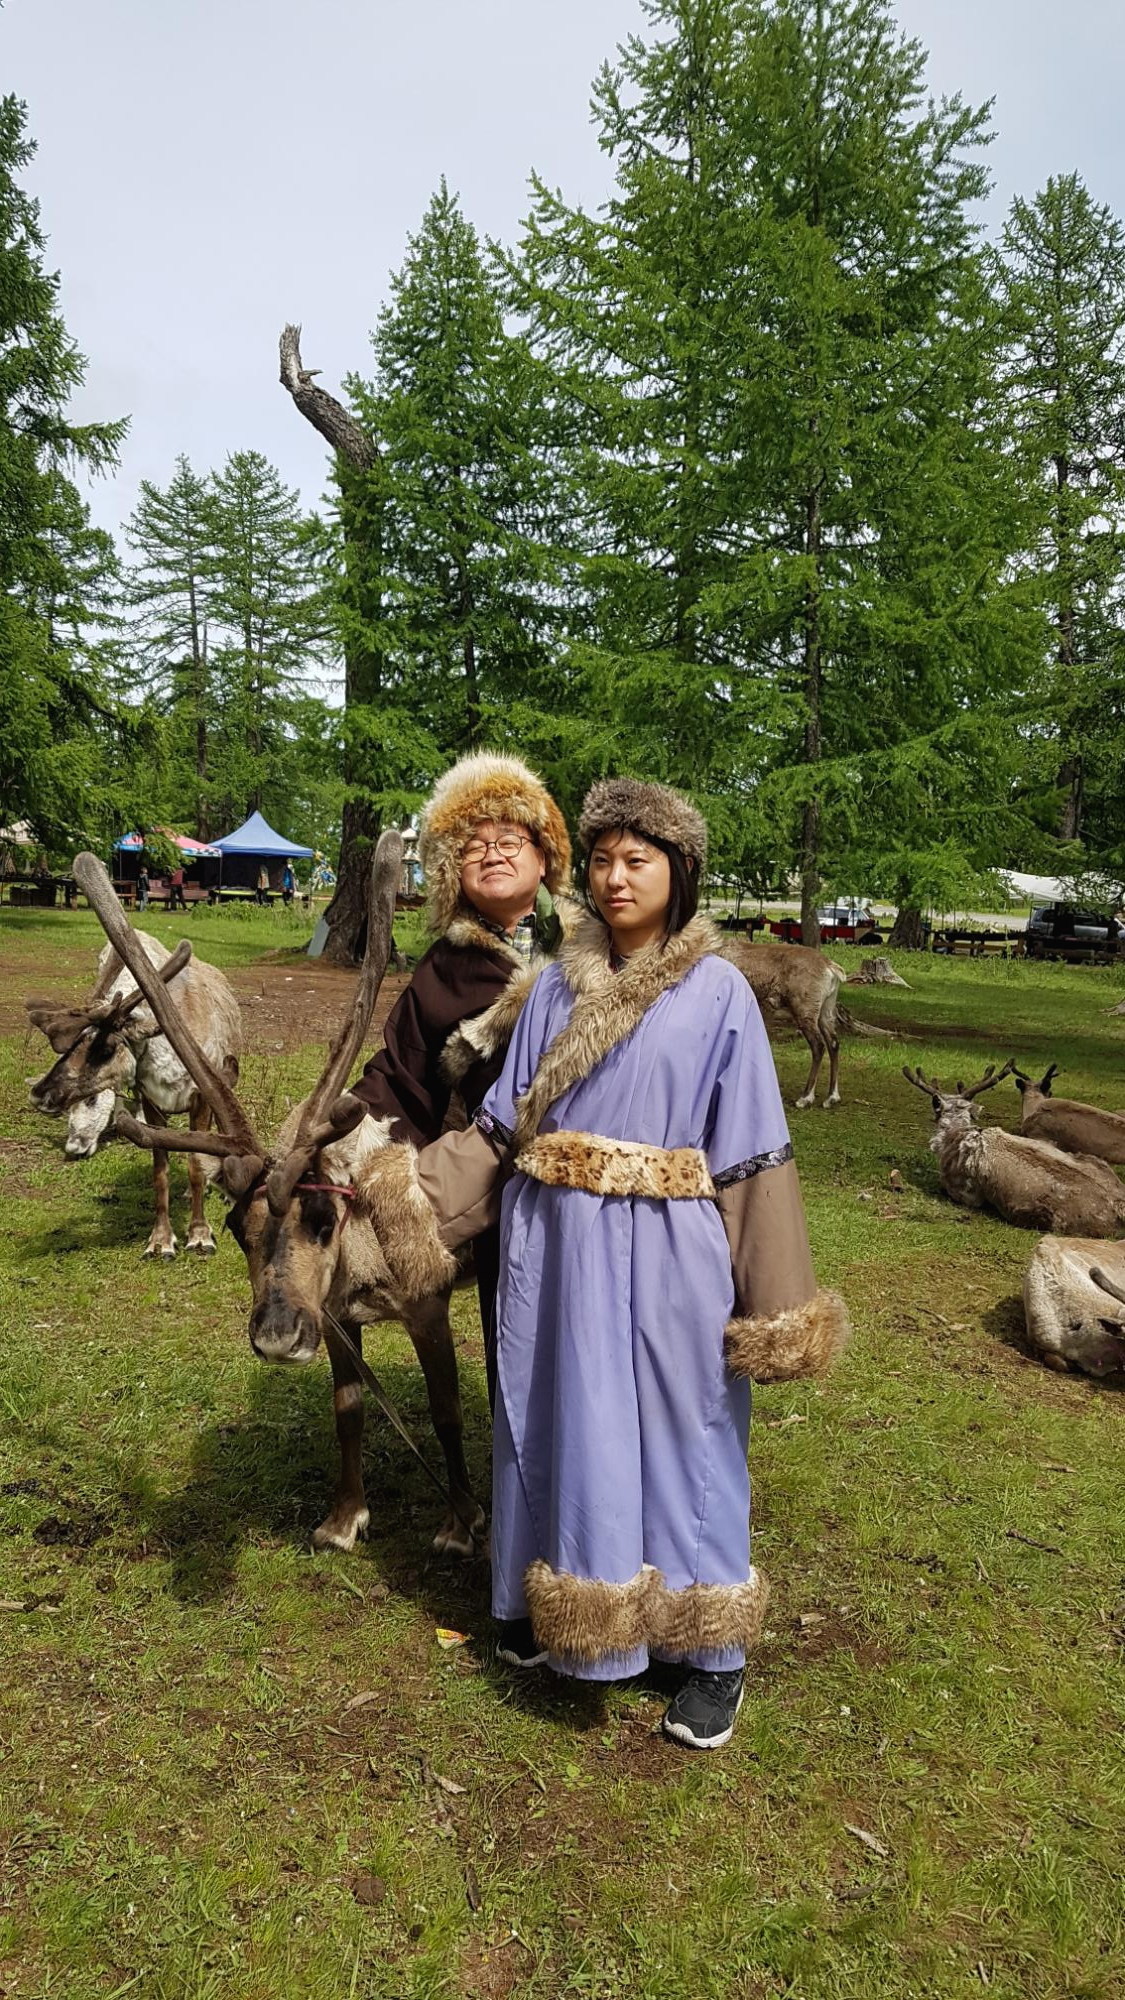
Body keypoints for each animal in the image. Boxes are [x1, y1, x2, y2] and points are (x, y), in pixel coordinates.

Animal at [27, 931, 241, 1260]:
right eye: (72, 1044)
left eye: (105, 1049)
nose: (39, 1094)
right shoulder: (152, 1101)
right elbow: (160, 1171)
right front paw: (161, 1240)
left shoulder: (201, 1097)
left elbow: (195, 1164)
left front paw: (199, 1236)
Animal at [70, 845, 485, 1561]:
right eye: (238, 1228)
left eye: (324, 1220)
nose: (277, 1338)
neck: (362, 1266)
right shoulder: (336, 1317)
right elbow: (348, 1413)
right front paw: (343, 1520)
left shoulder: (428, 1303)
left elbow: (446, 1412)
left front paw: (460, 1525)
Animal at [725, 941, 846, 1108]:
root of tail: (830, 967)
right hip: (826, 1010)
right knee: (833, 1042)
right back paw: (831, 1097)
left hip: (805, 1010)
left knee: (818, 1045)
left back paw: (805, 1097)